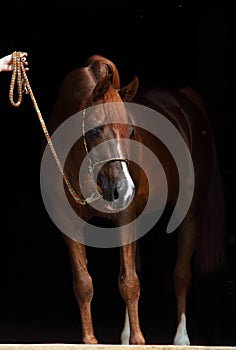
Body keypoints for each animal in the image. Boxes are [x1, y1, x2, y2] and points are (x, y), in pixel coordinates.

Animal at [40, 54, 225, 344]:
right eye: (94, 131)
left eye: (130, 131)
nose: (124, 190)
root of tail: (183, 101)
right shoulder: (67, 222)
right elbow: (84, 282)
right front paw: (90, 341)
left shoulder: (124, 215)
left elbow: (129, 281)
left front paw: (139, 341)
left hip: (189, 213)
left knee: (181, 273)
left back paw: (181, 338)